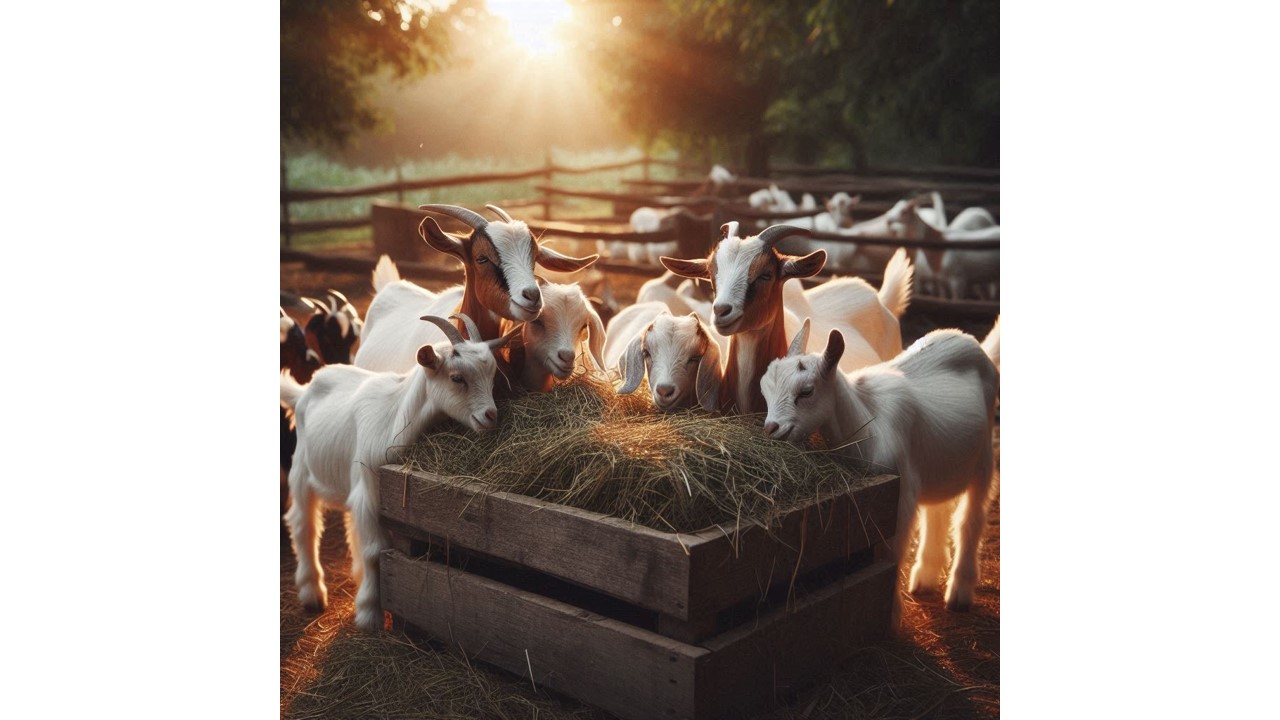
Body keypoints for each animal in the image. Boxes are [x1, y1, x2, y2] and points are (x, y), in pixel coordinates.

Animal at [281, 313, 521, 632]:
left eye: (492, 375)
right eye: (457, 378)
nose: (490, 416)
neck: (396, 416)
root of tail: (304, 391)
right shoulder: (369, 491)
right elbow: (374, 550)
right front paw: (369, 615)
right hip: (301, 471)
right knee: (303, 524)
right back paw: (312, 593)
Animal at [760, 319, 1000, 612]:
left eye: (806, 392)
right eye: (765, 389)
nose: (772, 428)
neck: (866, 421)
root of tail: (967, 339)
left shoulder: (902, 494)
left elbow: (892, 553)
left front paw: (892, 610)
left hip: (984, 458)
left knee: (970, 518)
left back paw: (959, 592)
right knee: (938, 510)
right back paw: (926, 577)